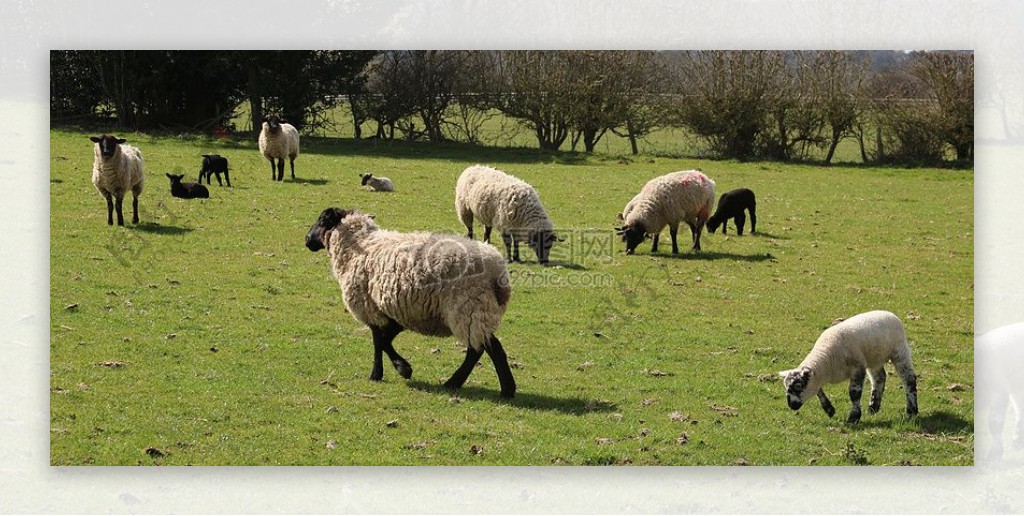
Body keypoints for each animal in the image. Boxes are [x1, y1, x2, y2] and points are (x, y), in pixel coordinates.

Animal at [301, 207, 512, 397]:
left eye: (322, 220)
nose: (307, 239)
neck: (360, 245)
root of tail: (497, 270)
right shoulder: (392, 310)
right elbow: (385, 339)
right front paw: (399, 368)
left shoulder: (370, 308)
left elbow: (379, 341)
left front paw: (387, 372)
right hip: (478, 310)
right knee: (488, 348)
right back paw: (499, 388)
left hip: (468, 308)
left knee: (481, 350)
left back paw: (464, 384)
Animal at [774, 311, 921, 423]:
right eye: (786, 387)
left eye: (798, 387)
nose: (791, 405)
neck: (826, 359)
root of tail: (891, 314)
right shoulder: (817, 377)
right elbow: (818, 391)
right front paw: (829, 410)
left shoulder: (857, 367)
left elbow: (854, 393)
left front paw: (853, 417)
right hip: (874, 357)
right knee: (879, 378)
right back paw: (873, 407)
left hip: (899, 351)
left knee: (909, 379)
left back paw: (911, 411)